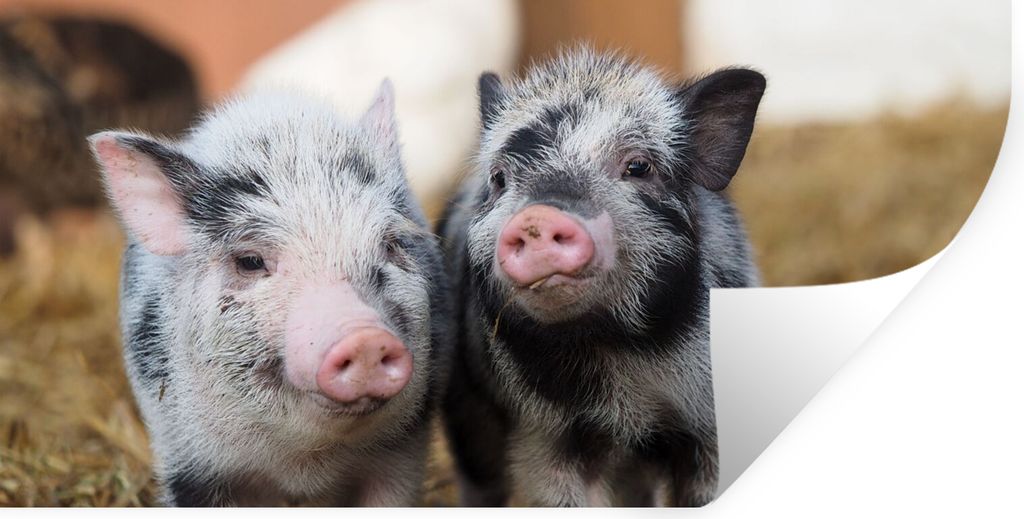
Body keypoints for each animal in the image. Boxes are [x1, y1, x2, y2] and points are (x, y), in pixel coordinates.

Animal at [89, 80, 451, 506]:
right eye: (250, 261)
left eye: (391, 244)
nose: (364, 338)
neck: (306, 467)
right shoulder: (188, 461)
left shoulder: (403, 452)